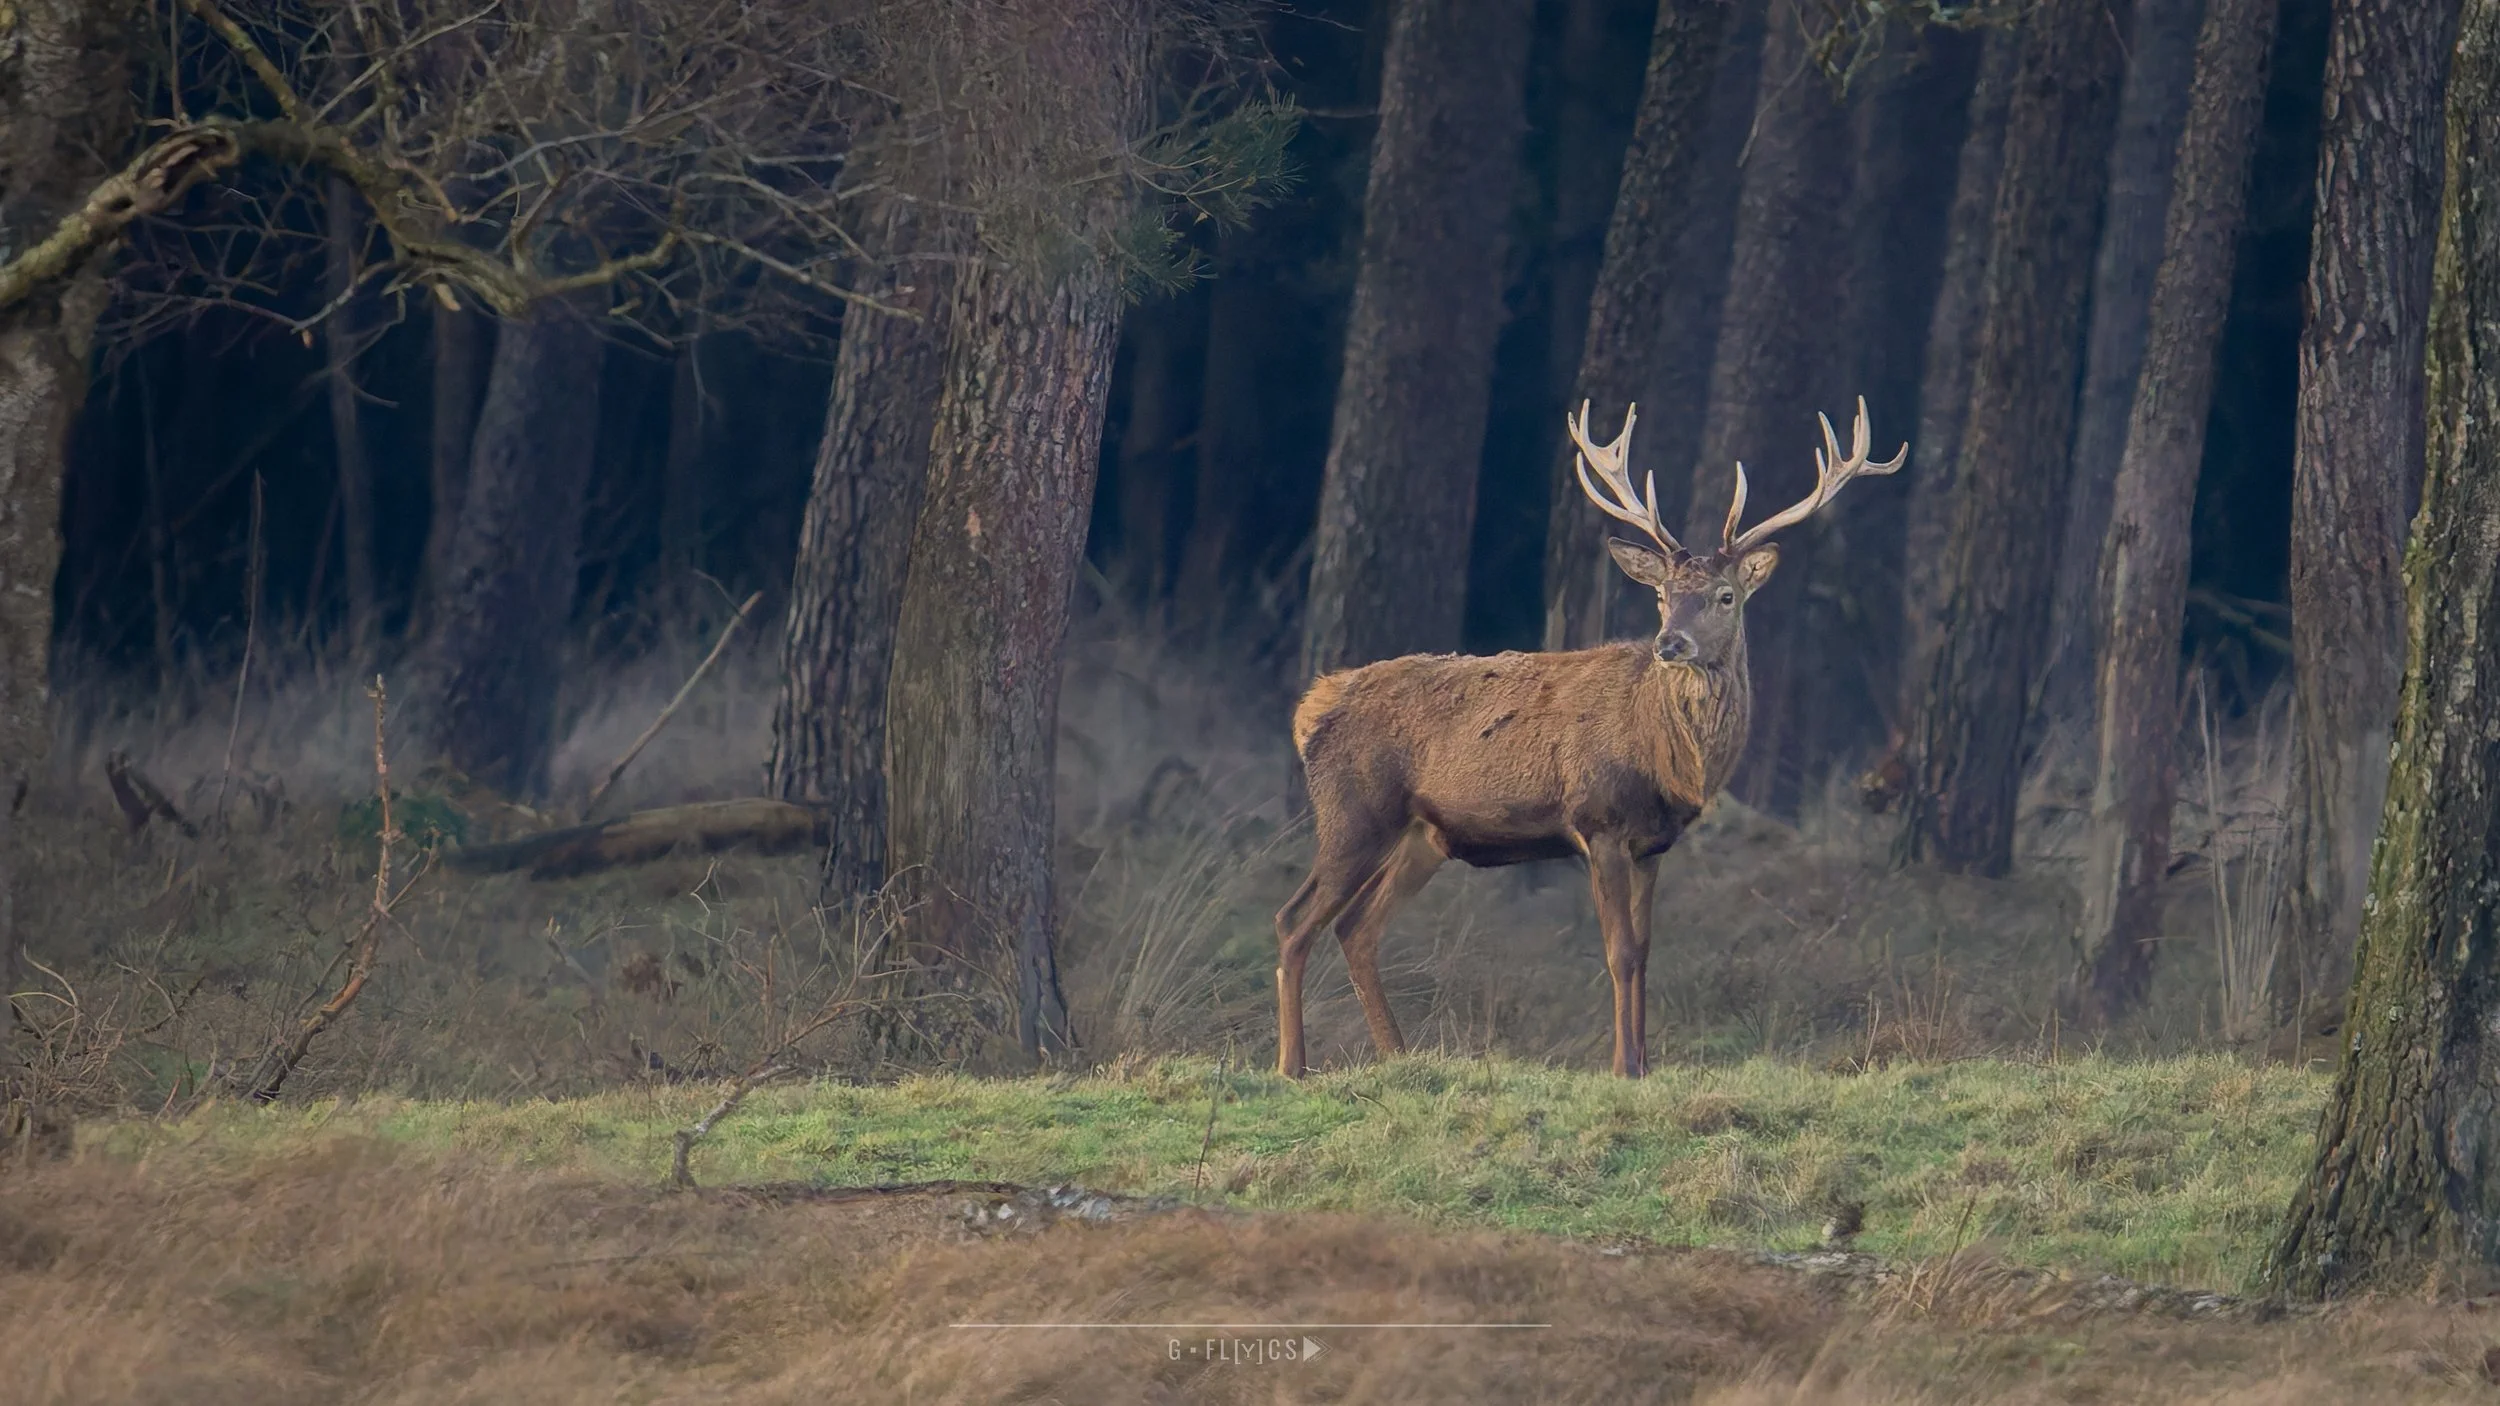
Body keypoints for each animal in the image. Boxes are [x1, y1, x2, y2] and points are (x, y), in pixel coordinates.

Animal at [1275, 397, 1905, 1079]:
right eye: (1662, 595)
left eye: (1724, 595)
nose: (1669, 644)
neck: (1671, 761)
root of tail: (1312, 707)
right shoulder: (1598, 822)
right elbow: (1620, 950)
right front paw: (1623, 1065)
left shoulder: (1654, 844)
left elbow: (1647, 951)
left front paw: (1644, 1063)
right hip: (1354, 812)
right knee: (1293, 920)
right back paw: (1292, 1064)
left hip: (1423, 837)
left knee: (1356, 928)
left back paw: (1398, 1056)